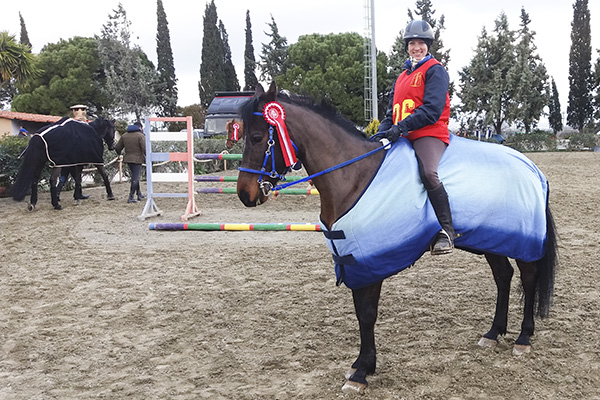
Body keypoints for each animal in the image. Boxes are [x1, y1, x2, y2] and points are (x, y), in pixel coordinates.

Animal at [236, 83, 557, 392]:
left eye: (257, 137)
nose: (245, 194)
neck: (354, 176)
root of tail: (531, 168)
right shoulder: (354, 262)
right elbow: (360, 313)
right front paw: (360, 365)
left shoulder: (369, 263)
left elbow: (367, 314)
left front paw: (362, 373)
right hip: (493, 241)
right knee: (503, 277)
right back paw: (493, 333)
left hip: (522, 243)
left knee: (528, 279)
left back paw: (523, 338)